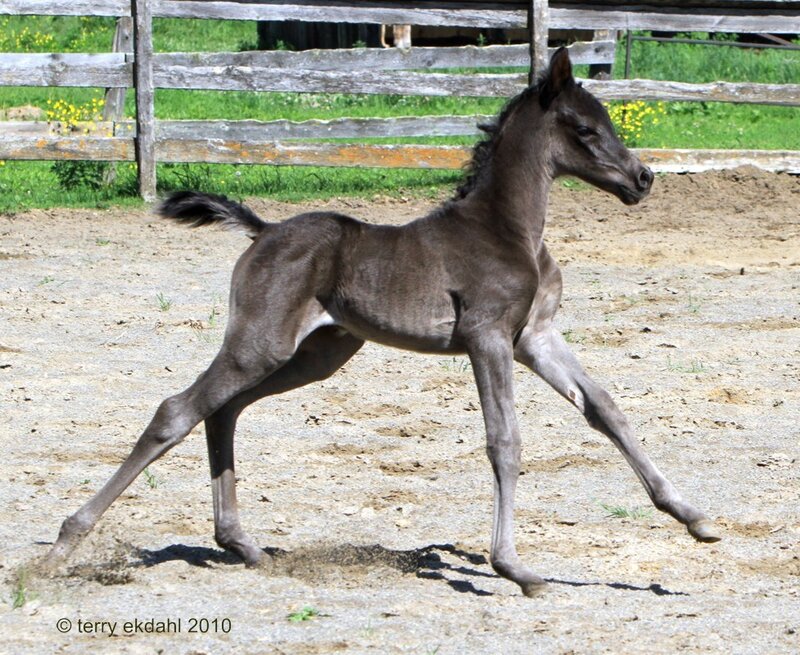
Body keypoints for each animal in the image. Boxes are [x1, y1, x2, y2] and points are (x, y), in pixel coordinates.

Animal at [45, 48, 720, 596]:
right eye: (584, 128)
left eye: (610, 121)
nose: (643, 178)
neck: (509, 230)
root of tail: (263, 230)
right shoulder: (488, 338)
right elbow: (504, 442)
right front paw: (514, 567)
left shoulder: (534, 337)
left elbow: (606, 409)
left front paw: (694, 518)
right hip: (262, 343)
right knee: (176, 411)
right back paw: (66, 541)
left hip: (316, 353)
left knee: (223, 410)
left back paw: (241, 544)